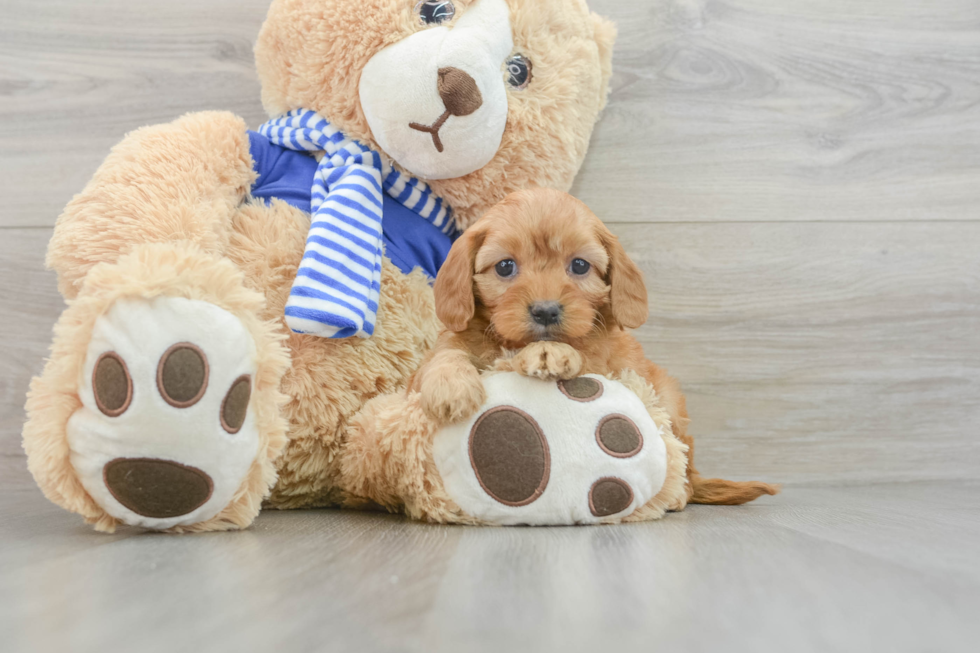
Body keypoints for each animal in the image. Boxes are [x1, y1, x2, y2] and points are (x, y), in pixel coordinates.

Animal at [410, 187, 776, 504]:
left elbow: (577, 356)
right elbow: (443, 355)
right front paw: (450, 386)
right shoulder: (438, 355)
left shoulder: (605, 365)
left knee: (682, 467)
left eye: (580, 265)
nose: (546, 311)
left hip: (670, 401)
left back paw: (676, 494)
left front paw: (549, 352)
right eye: (505, 266)